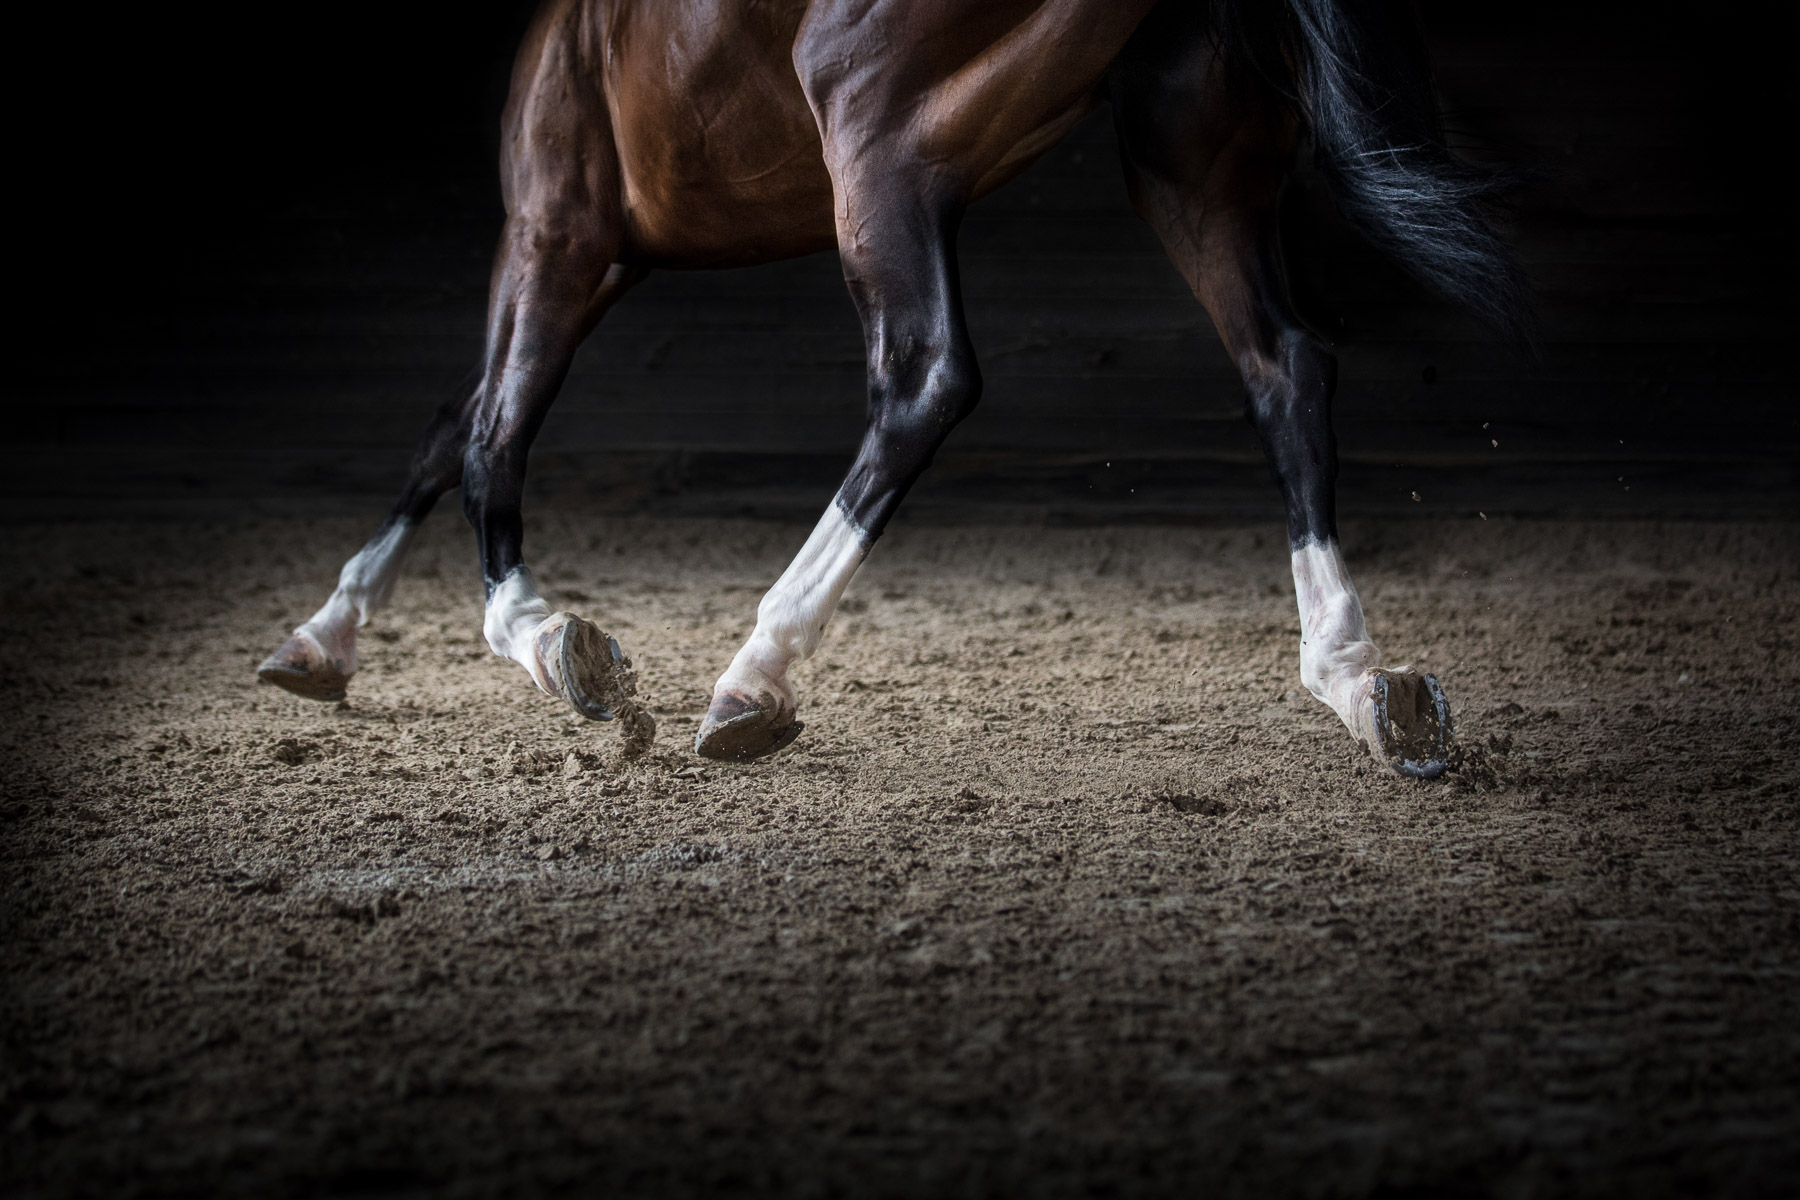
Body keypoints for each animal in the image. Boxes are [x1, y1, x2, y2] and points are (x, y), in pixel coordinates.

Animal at [253, 0, 1526, 780]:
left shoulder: (556, 230)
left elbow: (489, 440)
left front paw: (558, 644)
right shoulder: (587, 252)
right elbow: (452, 428)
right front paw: (319, 644)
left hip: (879, 150)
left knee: (924, 382)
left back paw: (753, 678)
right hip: (1190, 165)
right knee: (1285, 368)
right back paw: (1365, 686)